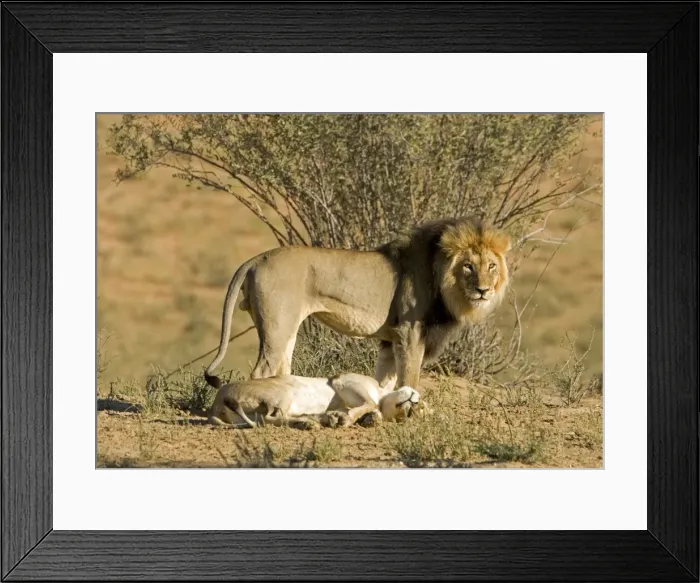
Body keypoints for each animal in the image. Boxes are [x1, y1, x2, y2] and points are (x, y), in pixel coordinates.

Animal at [204, 217, 510, 391]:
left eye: (491, 266)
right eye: (468, 266)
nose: (483, 290)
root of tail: (256, 258)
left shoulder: (391, 340)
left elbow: (385, 380)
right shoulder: (410, 333)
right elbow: (410, 378)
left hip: (284, 329)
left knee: (281, 368)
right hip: (277, 326)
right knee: (262, 371)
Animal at [207, 372, 424, 429]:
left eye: (413, 415)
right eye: (421, 406)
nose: (414, 405)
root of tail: (216, 403)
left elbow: (371, 410)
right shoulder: (342, 380)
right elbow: (370, 403)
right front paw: (347, 419)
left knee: (266, 419)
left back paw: (311, 422)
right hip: (284, 393)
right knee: (268, 418)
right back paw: (310, 422)